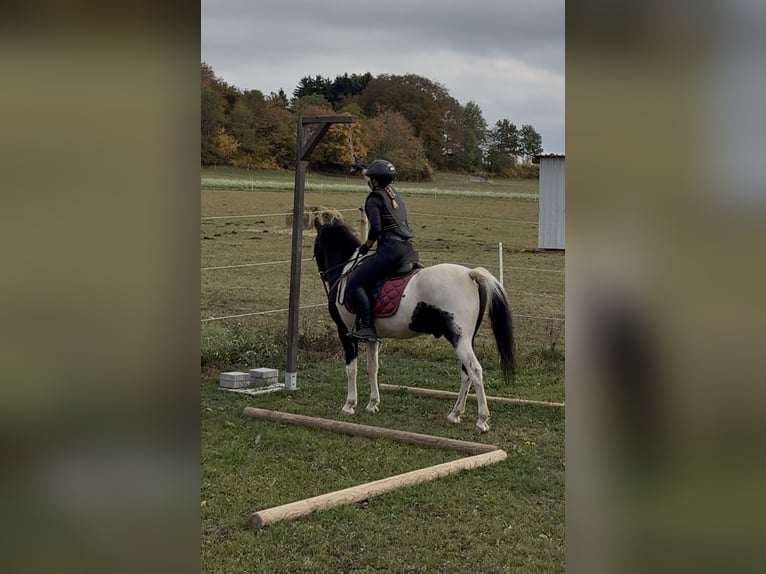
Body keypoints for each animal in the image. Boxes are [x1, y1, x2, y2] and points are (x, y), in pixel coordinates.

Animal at [312, 219, 515, 432]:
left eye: (316, 244)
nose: (322, 273)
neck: (346, 270)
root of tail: (470, 274)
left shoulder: (345, 333)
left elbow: (351, 369)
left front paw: (349, 405)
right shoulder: (371, 337)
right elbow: (372, 367)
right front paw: (372, 403)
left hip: (459, 339)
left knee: (475, 371)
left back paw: (481, 420)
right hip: (466, 340)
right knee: (466, 373)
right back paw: (455, 414)